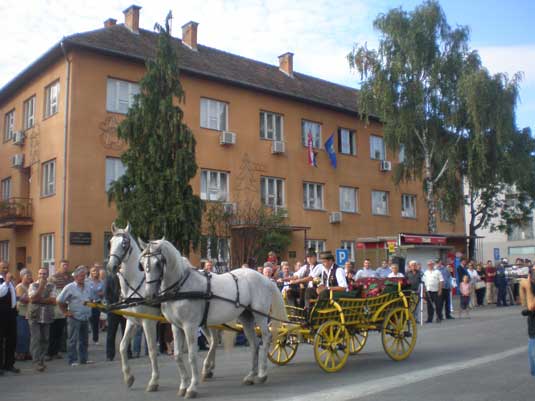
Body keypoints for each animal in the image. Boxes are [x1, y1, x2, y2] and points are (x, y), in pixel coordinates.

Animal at [140, 238, 286, 396]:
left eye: (158, 263)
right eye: (142, 263)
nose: (149, 296)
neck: (181, 287)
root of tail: (265, 279)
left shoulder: (190, 326)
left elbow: (192, 356)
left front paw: (192, 387)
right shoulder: (176, 326)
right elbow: (178, 355)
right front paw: (183, 385)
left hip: (260, 315)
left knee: (266, 338)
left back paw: (262, 374)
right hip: (246, 317)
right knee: (254, 344)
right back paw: (250, 376)